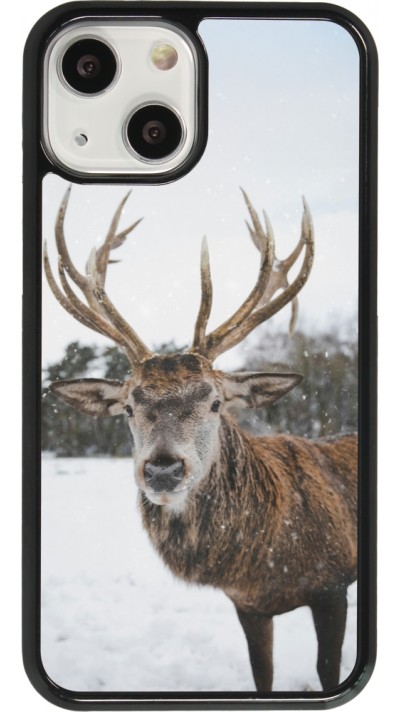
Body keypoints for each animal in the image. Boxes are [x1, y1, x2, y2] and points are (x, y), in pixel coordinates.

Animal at [44, 187, 357, 693]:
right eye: (128, 407)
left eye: (215, 402)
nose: (163, 469)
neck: (266, 563)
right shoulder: (247, 605)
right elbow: (262, 676)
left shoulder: (333, 584)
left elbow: (329, 671)